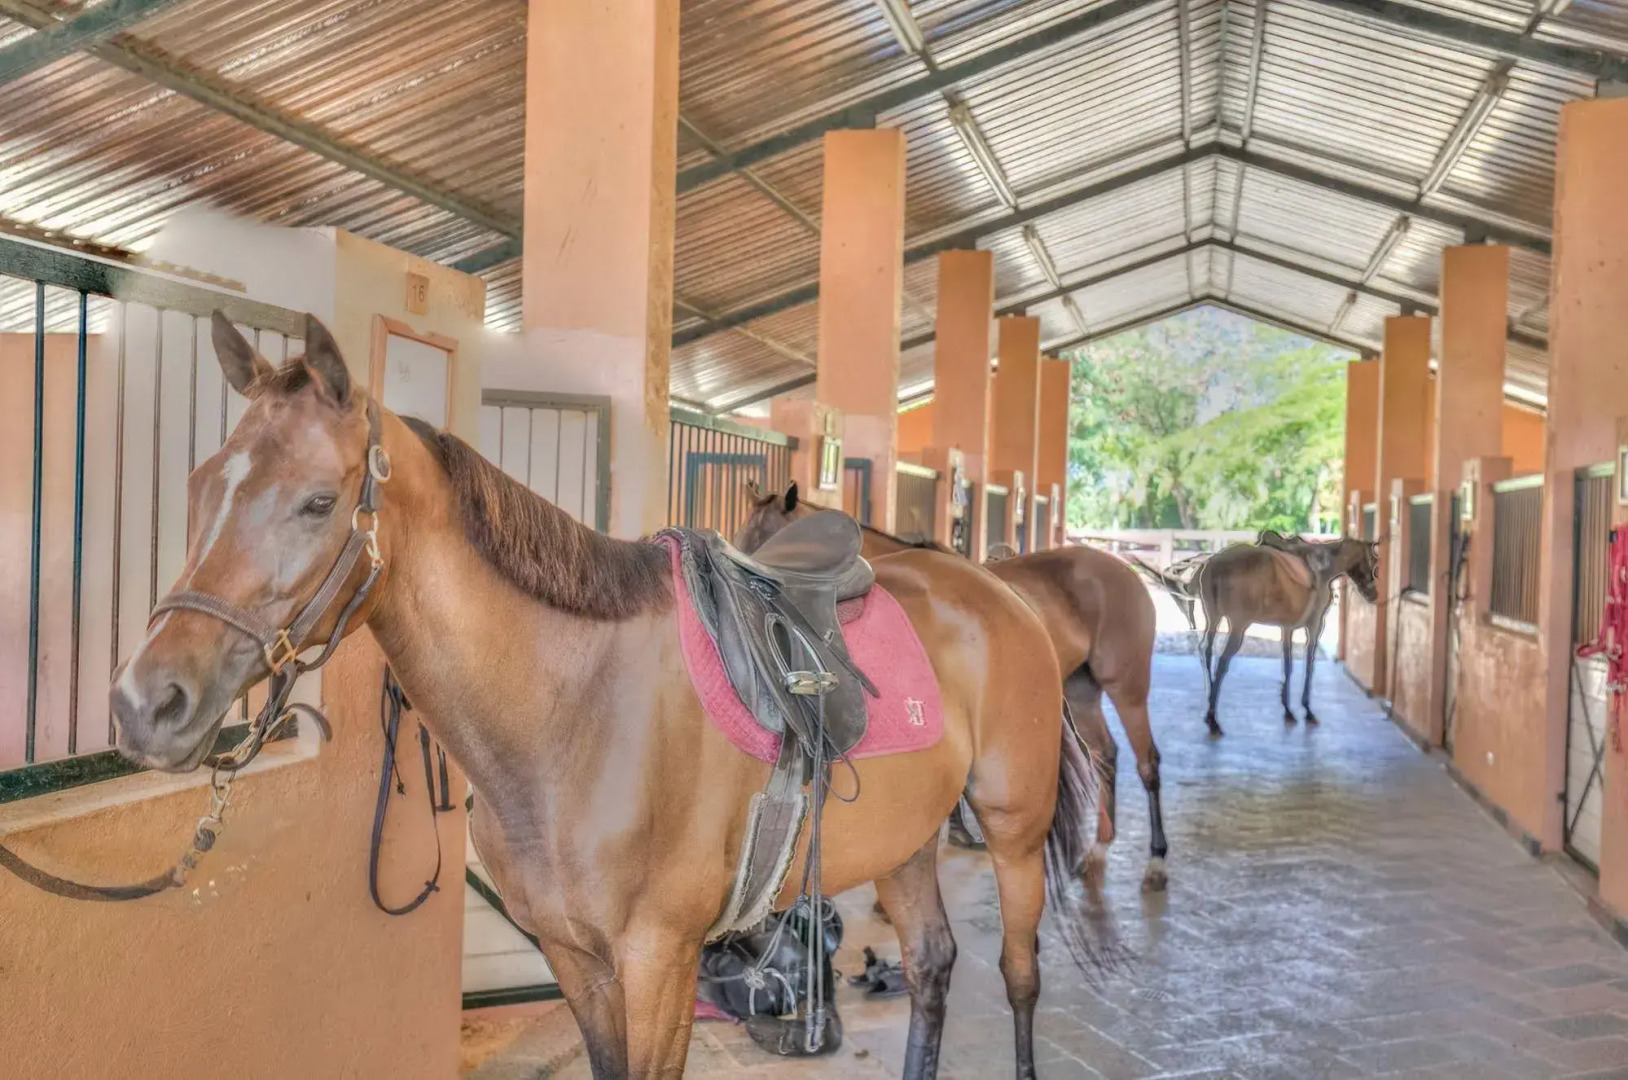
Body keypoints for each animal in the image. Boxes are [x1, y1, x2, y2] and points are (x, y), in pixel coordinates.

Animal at [108, 313, 1115, 1080]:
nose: (143, 705)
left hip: (1015, 831)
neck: (573, 715)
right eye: (200, 486)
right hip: (905, 842)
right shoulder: (576, 959)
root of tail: (999, 591)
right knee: (933, 965)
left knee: (1018, 974)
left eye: (319, 502)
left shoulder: (659, 960)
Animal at [737, 482, 1169, 894]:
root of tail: (1123, 569)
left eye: (774, 540)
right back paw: (1097, 850)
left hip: (1128, 689)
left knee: (1147, 762)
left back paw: (1156, 862)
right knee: (1105, 754)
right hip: (1081, 690)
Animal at [1194, 536, 1380, 735]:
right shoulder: (1314, 626)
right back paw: (1214, 719)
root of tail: (1218, 564)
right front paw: (1307, 709)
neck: (1323, 569)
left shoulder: (1287, 628)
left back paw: (1209, 709)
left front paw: (1288, 710)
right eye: (1374, 562)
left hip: (1213, 618)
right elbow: (1309, 665)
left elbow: (1287, 665)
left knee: (1206, 652)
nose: (1373, 595)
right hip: (1238, 624)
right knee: (1222, 662)